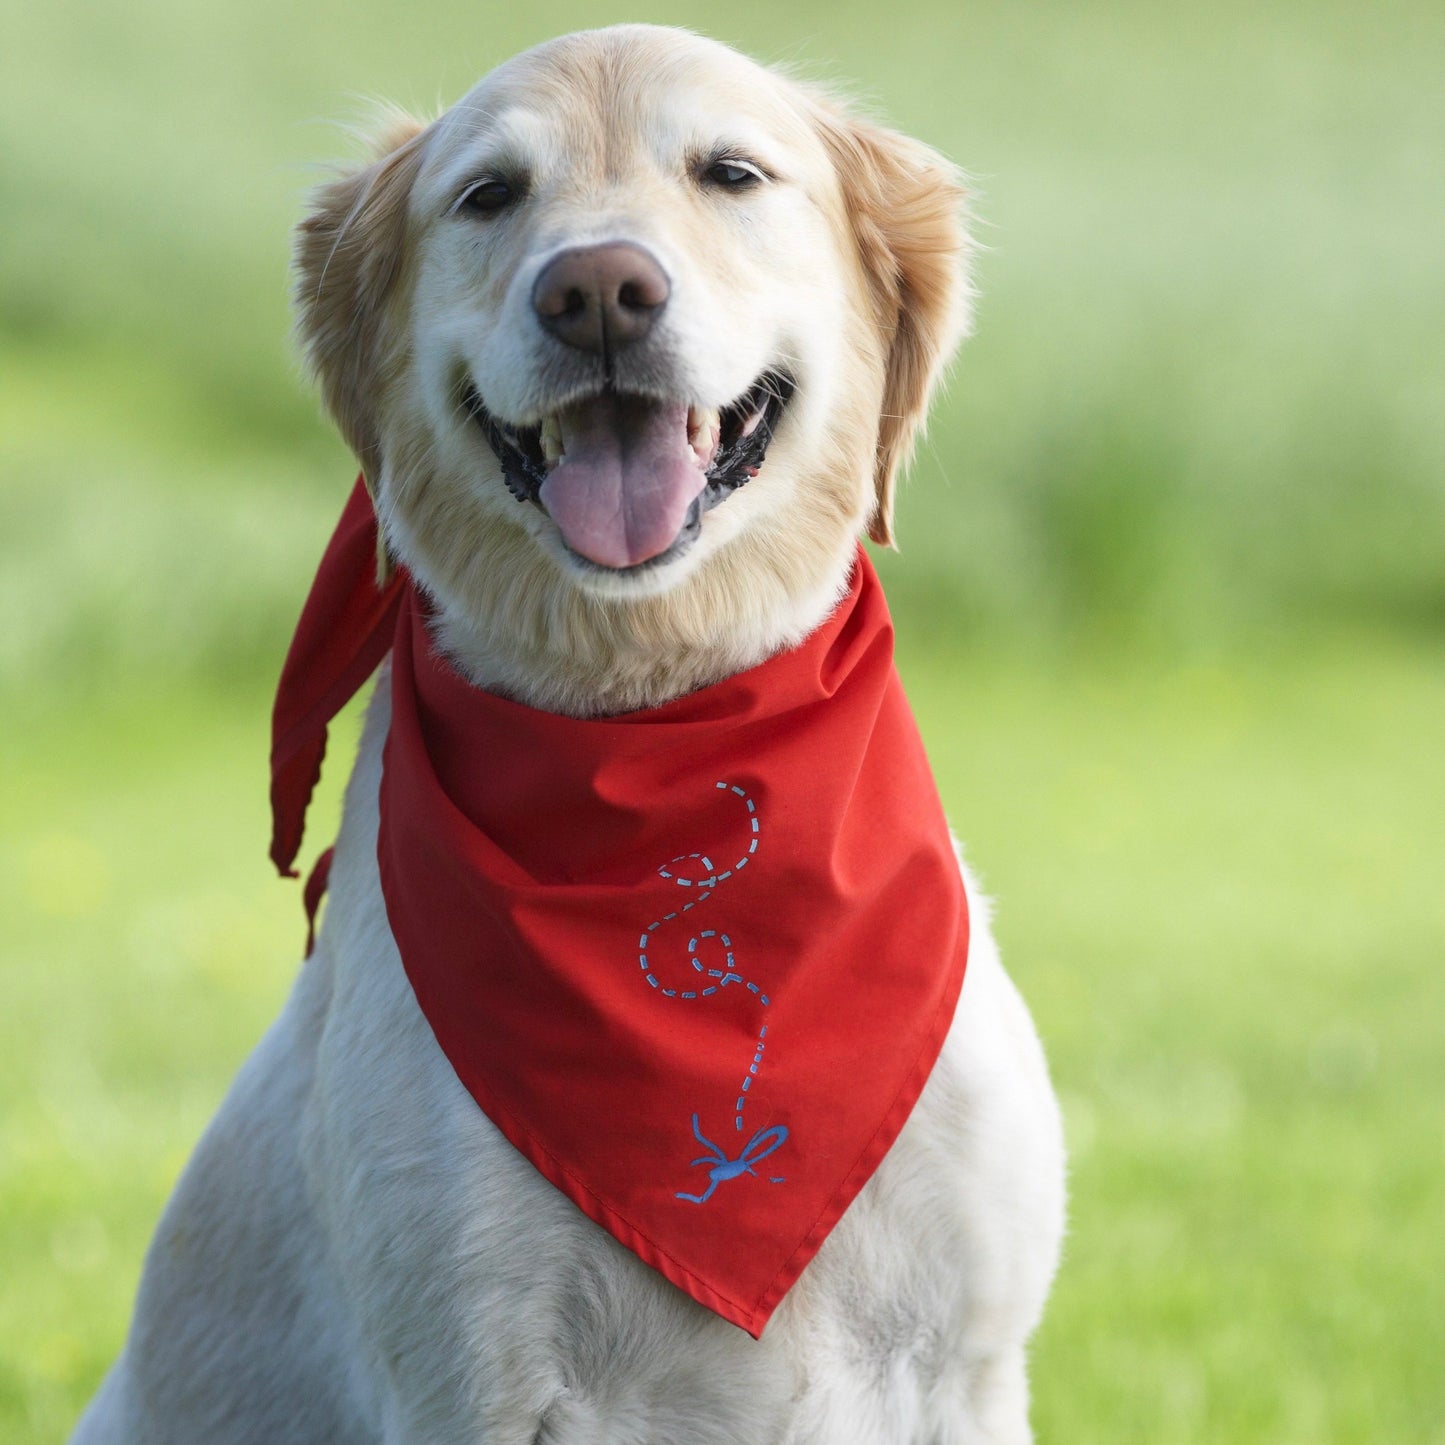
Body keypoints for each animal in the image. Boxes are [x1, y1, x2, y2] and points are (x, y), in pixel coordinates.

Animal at [73, 25, 1069, 1445]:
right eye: (489, 194)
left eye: (730, 171)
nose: (597, 289)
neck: (655, 725)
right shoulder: (469, 1369)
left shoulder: (969, 1366)